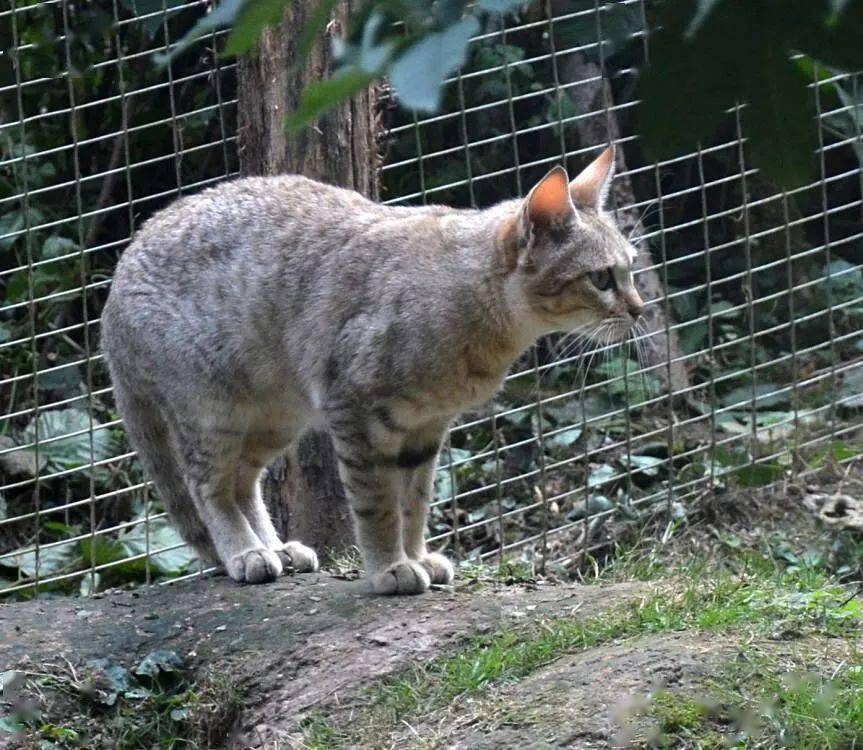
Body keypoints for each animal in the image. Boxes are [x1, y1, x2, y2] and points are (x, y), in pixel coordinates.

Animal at [99, 144, 640, 596]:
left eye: (632, 267)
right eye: (601, 278)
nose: (638, 308)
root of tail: (117, 280)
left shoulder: (426, 429)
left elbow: (414, 503)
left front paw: (416, 555)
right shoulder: (356, 412)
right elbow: (377, 504)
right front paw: (390, 567)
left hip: (277, 416)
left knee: (243, 481)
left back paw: (276, 547)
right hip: (214, 410)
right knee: (208, 486)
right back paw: (246, 552)